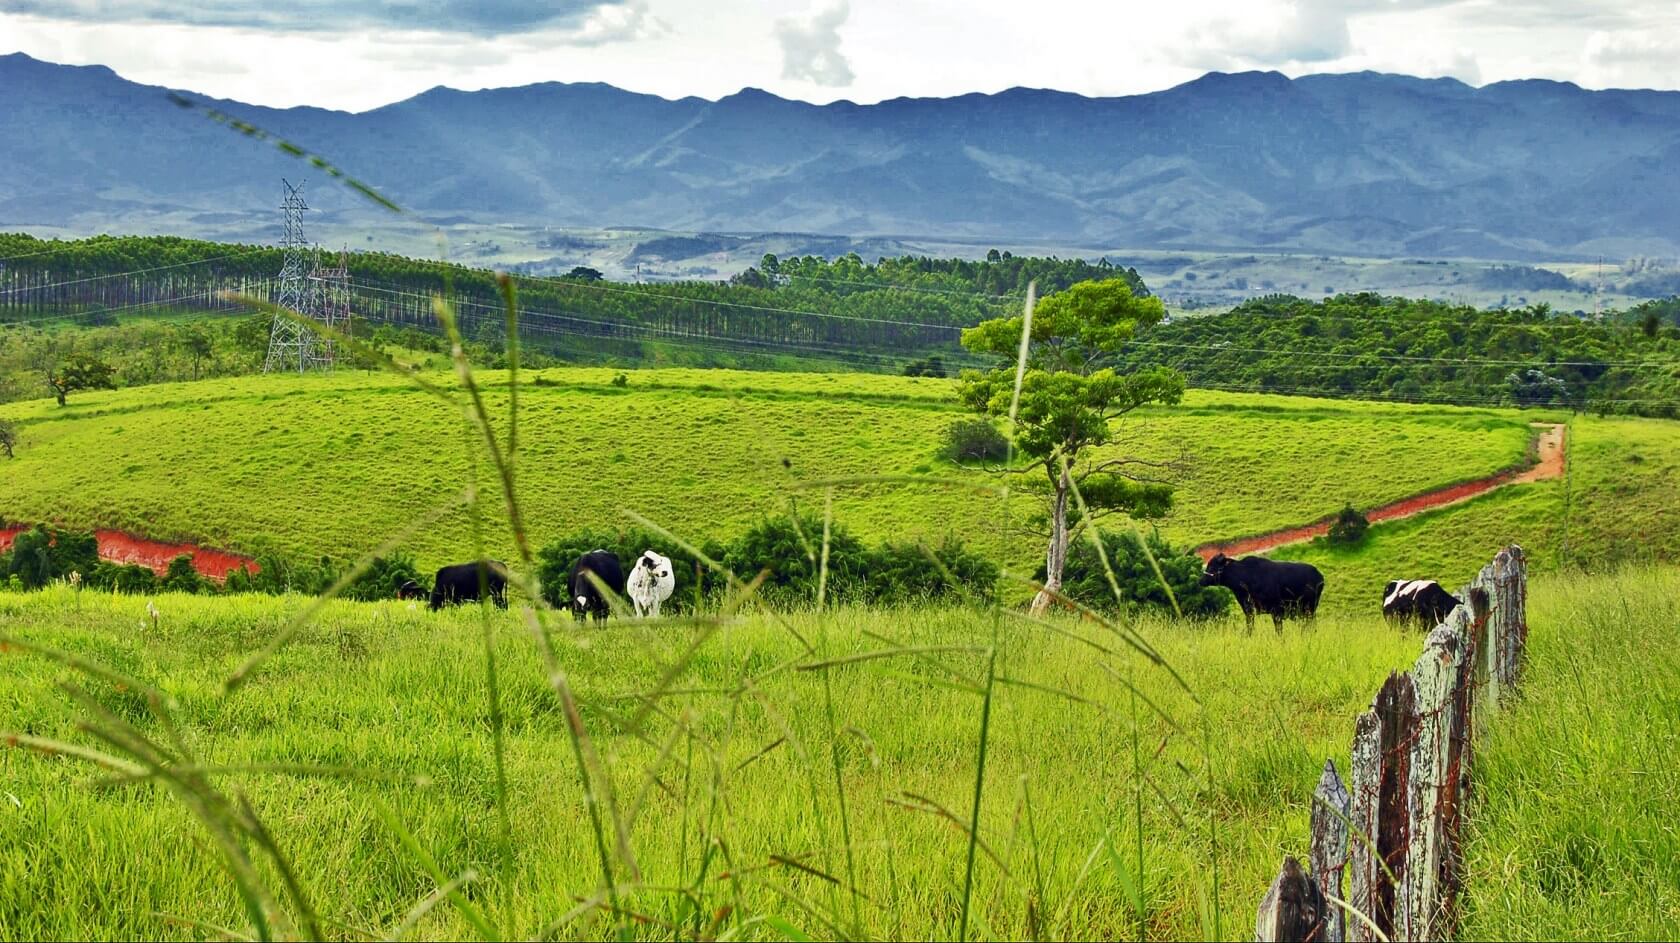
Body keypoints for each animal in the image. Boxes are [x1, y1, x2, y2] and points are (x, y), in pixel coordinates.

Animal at [1202, 551, 1330, 632]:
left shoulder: (1276, 611)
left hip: (1309, 609)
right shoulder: (1249, 611)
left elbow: (1278, 630)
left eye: (1212, 566)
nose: (1201, 581)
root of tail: (1320, 576)